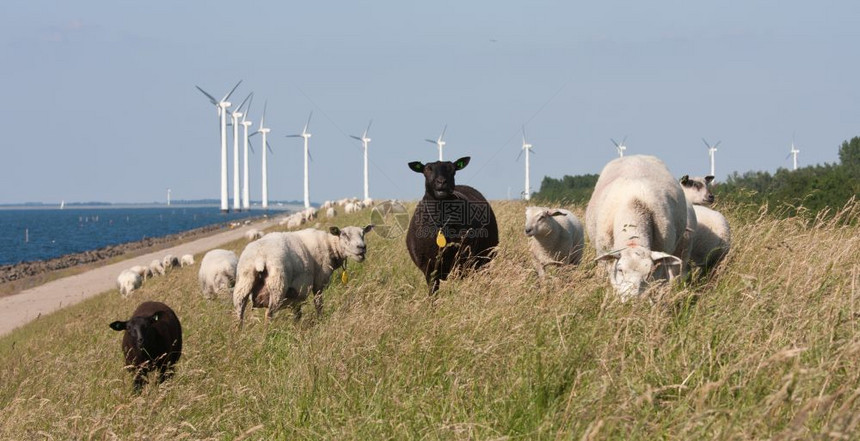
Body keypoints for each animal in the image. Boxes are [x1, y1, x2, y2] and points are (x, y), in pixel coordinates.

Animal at [233, 225, 372, 324]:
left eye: (363, 234)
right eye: (344, 234)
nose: (362, 247)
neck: (331, 246)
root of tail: (260, 257)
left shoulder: (296, 292)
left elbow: (297, 312)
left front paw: (297, 325)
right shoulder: (318, 282)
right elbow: (318, 303)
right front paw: (320, 319)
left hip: (243, 284)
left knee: (239, 314)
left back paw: (238, 334)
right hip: (277, 285)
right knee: (269, 315)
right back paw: (267, 336)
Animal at [406, 156, 500, 294]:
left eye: (452, 169)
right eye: (427, 169)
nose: (441, 182)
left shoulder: (460, 262)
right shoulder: (429, 269)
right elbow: (433, 292)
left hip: (484, 258)